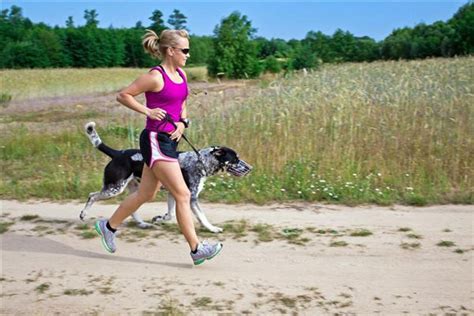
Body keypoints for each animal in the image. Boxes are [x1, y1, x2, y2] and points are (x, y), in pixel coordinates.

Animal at [79, 122, 254, 233]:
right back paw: (83, 214)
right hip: (114, 188)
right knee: (92, 195)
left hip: (137, 190)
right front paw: (212, 229)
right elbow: (202, 217)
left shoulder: (173, 193)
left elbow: (170, 215)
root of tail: (118, 153)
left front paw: (160, 218)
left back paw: (143, 224)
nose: (251, 168)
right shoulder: (191, 198)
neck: (200, 161)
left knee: (129, 207)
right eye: (235, 159)